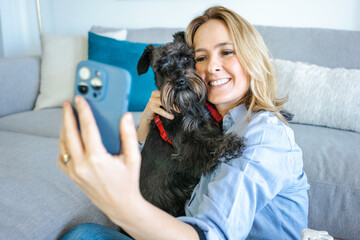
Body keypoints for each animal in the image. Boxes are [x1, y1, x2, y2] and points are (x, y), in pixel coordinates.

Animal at [136, 31, 246, 217]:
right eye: (161, 66)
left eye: (186, 58)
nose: (179, 81)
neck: (189, 107)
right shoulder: (187, 152)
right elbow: (207, 143)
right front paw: (229, 143)